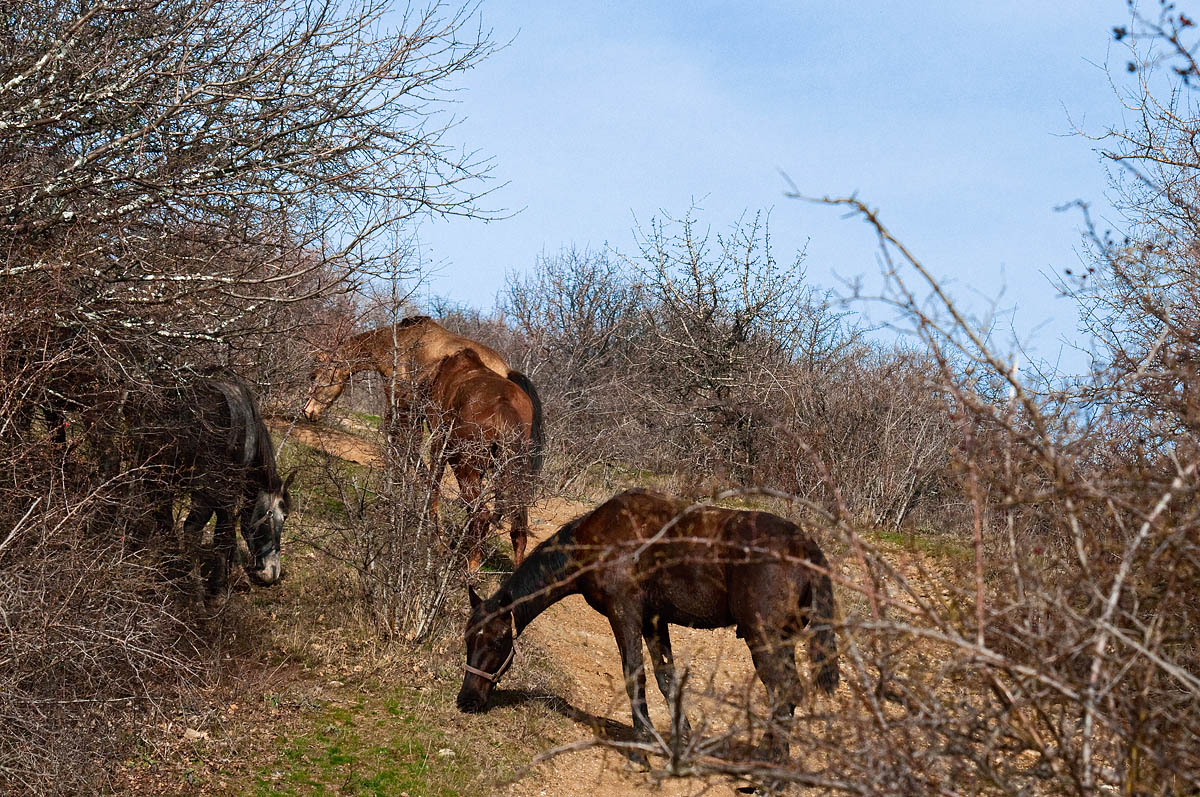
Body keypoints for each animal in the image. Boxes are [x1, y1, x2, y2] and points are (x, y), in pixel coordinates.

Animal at [132, 374, 291, 590]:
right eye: (282, 516)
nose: (273, 572)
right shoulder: (226, 489)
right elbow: (225, 530)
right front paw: (229, 578)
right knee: (194, 528)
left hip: (156, 475)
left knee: (165, 519)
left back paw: (172, 567)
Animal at [300, 312, 544, 472]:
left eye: (315, 376)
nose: (308, 412)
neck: (395, 344)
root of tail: (507, 370)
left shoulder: (400, 399)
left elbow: (399, 434)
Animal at [424, 348, 532, 566]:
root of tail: (505, 409)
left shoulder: (439, 442)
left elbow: (433, 488)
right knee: (518, 527)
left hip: (463, 465)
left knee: (481, 515)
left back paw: (470, 567)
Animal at [453, 489, 840, 768]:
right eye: (468, 639)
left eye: (498, 641)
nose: (467, 700)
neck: (596, 539)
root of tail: (806, 547)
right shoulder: (656, 621)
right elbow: (666, 678)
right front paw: (679, 742)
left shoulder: (624, 613)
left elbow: (633, 674)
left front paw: (641, 746)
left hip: (764, 638)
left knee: (786, 690)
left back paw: (768, 764)